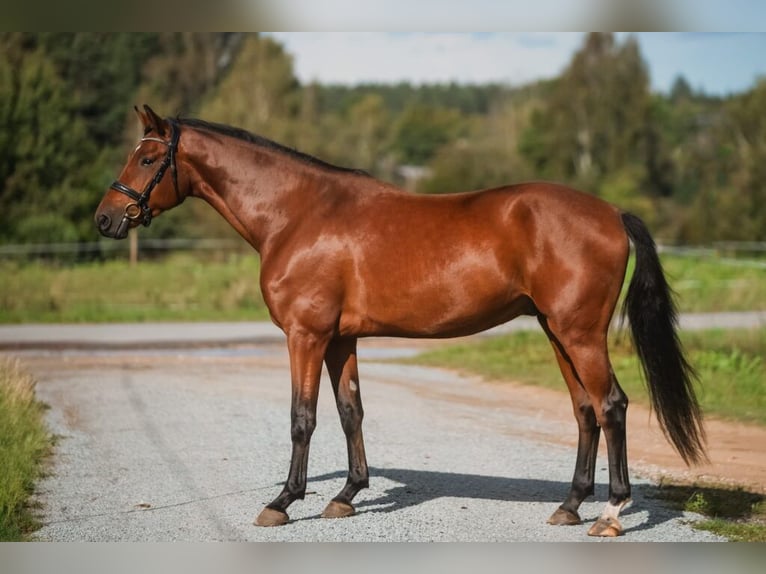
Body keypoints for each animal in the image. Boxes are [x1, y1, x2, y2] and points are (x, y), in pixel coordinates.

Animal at [95, 105, 706, 537]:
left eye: (146, 160)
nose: (105, 218)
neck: (299, 214)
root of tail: (611, 212)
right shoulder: (340, 340)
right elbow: (350, 412)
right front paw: (345, 496)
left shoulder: (306, 336)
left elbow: (302, 418)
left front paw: (283, 502)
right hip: (557, 332)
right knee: (585, 412)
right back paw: (570, 506)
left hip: (579, 335)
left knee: (612, 406)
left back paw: (611, 513)